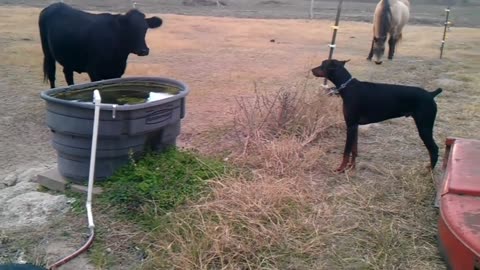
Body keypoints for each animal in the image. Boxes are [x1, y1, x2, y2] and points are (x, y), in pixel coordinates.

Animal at [312, 59, 442, 173]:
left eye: (323, 64)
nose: (312, 69)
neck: (348, 87)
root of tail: (431, 94)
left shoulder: (350, 125)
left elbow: (346, 151)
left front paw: (341, 169)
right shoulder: (355, 126)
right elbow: (354, 149)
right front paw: (352, 167)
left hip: (424, 127)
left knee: (434, 149)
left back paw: (429, 172)